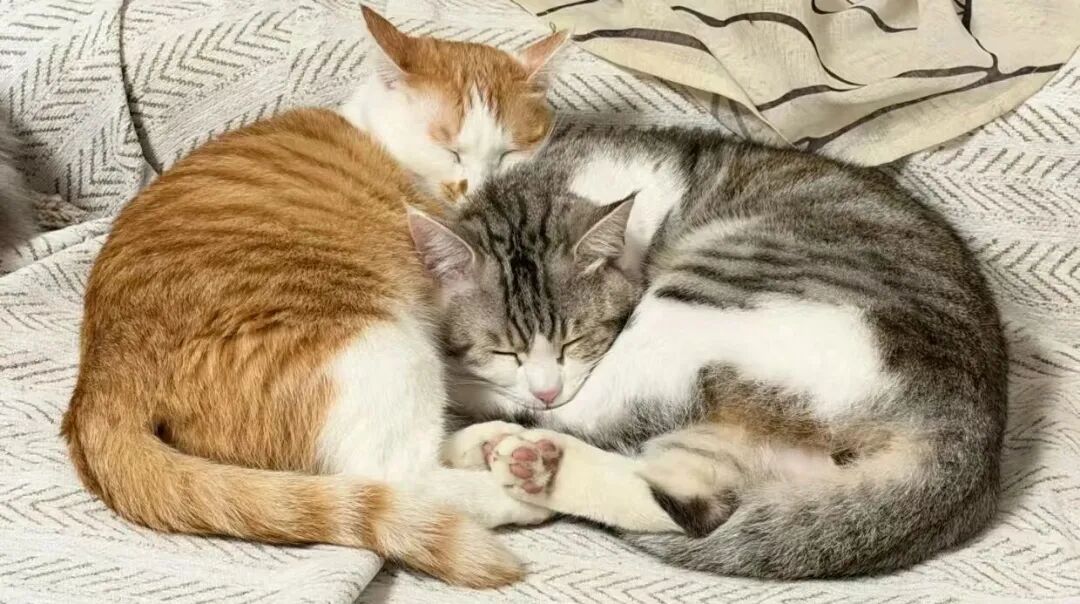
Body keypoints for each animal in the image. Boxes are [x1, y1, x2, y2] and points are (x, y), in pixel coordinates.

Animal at [61, 7, 566, 588]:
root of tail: (99, 377)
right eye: (448, 148)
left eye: (509, 152)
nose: (479, 188)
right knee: (398, 473)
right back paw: (519, 487)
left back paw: (495, 445)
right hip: (380, 341)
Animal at [414, 125, 1007, 578]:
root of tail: (970, 442)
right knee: (697, 504)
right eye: (502, 350)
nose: (545, 386)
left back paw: (498, 444)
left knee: (594, 415)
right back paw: (523, 461)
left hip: (702, 299)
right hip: (735, 438)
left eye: (577, 338)